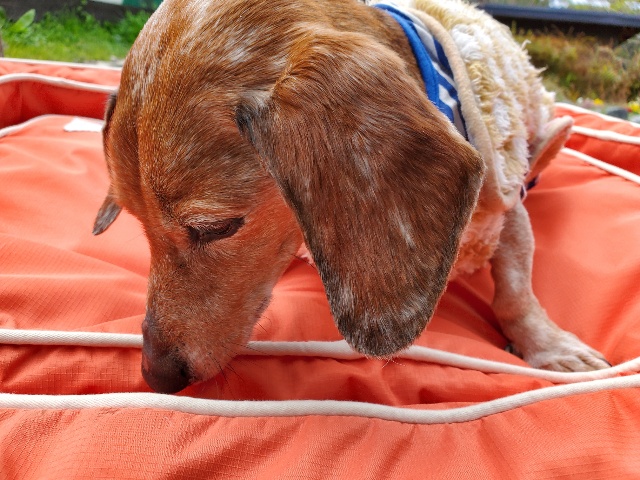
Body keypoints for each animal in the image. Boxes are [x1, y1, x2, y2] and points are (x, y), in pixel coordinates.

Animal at [94, 0, 610, 393]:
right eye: (136, 220)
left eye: (216, 228)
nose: (154, 377)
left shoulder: (508, 199)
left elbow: (515, 288)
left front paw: (549, 345)